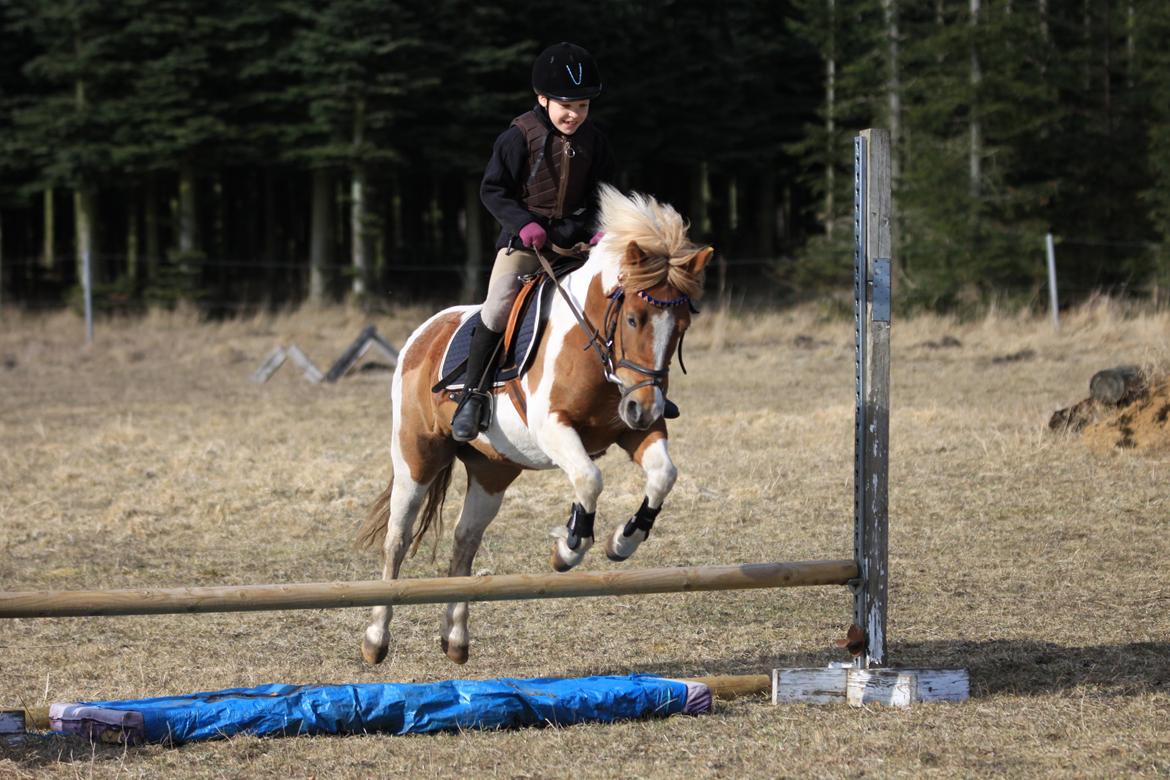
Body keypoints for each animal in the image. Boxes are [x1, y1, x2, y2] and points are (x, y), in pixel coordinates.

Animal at [355, 184, 706, 664]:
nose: (647, 407)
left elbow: (663, 475)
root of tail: (424, 333)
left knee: (465, 540)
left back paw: (455, 638)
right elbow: (590, 478)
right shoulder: (554, 428)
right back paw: (376, 639)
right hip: (416, 456)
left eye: (682, 327)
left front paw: (623, 540)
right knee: (398, 539)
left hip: (492, 470)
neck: (595, 346)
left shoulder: (631, 430)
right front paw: (569, 548)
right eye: (634, 319)